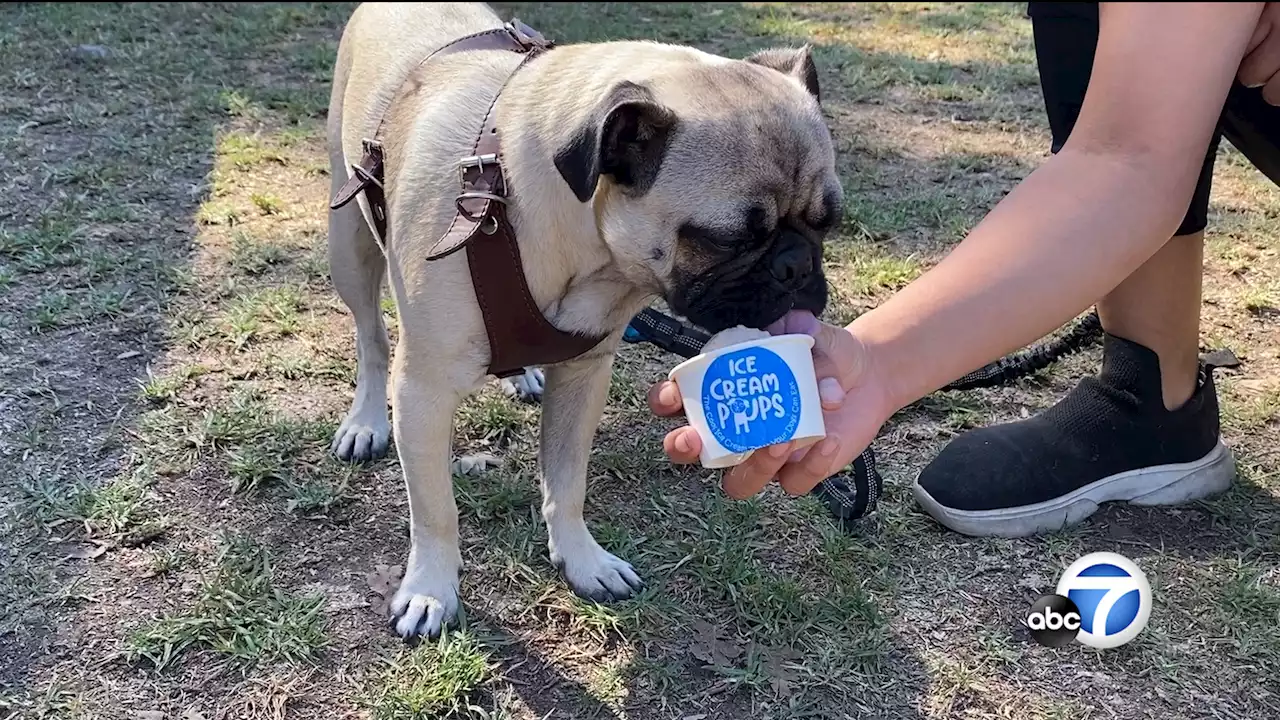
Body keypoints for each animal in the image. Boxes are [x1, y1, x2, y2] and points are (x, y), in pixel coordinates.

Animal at [325, 0, 839, 638]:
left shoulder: (584, 374)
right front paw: (430, 588)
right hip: (349, 248)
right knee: (370, 338)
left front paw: (581, 559)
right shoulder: (422, 393)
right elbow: (435, 509)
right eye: (726, 239)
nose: (796, 265)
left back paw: (521, 374)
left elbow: (566, 484)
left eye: (828, 222)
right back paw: (367, 420)